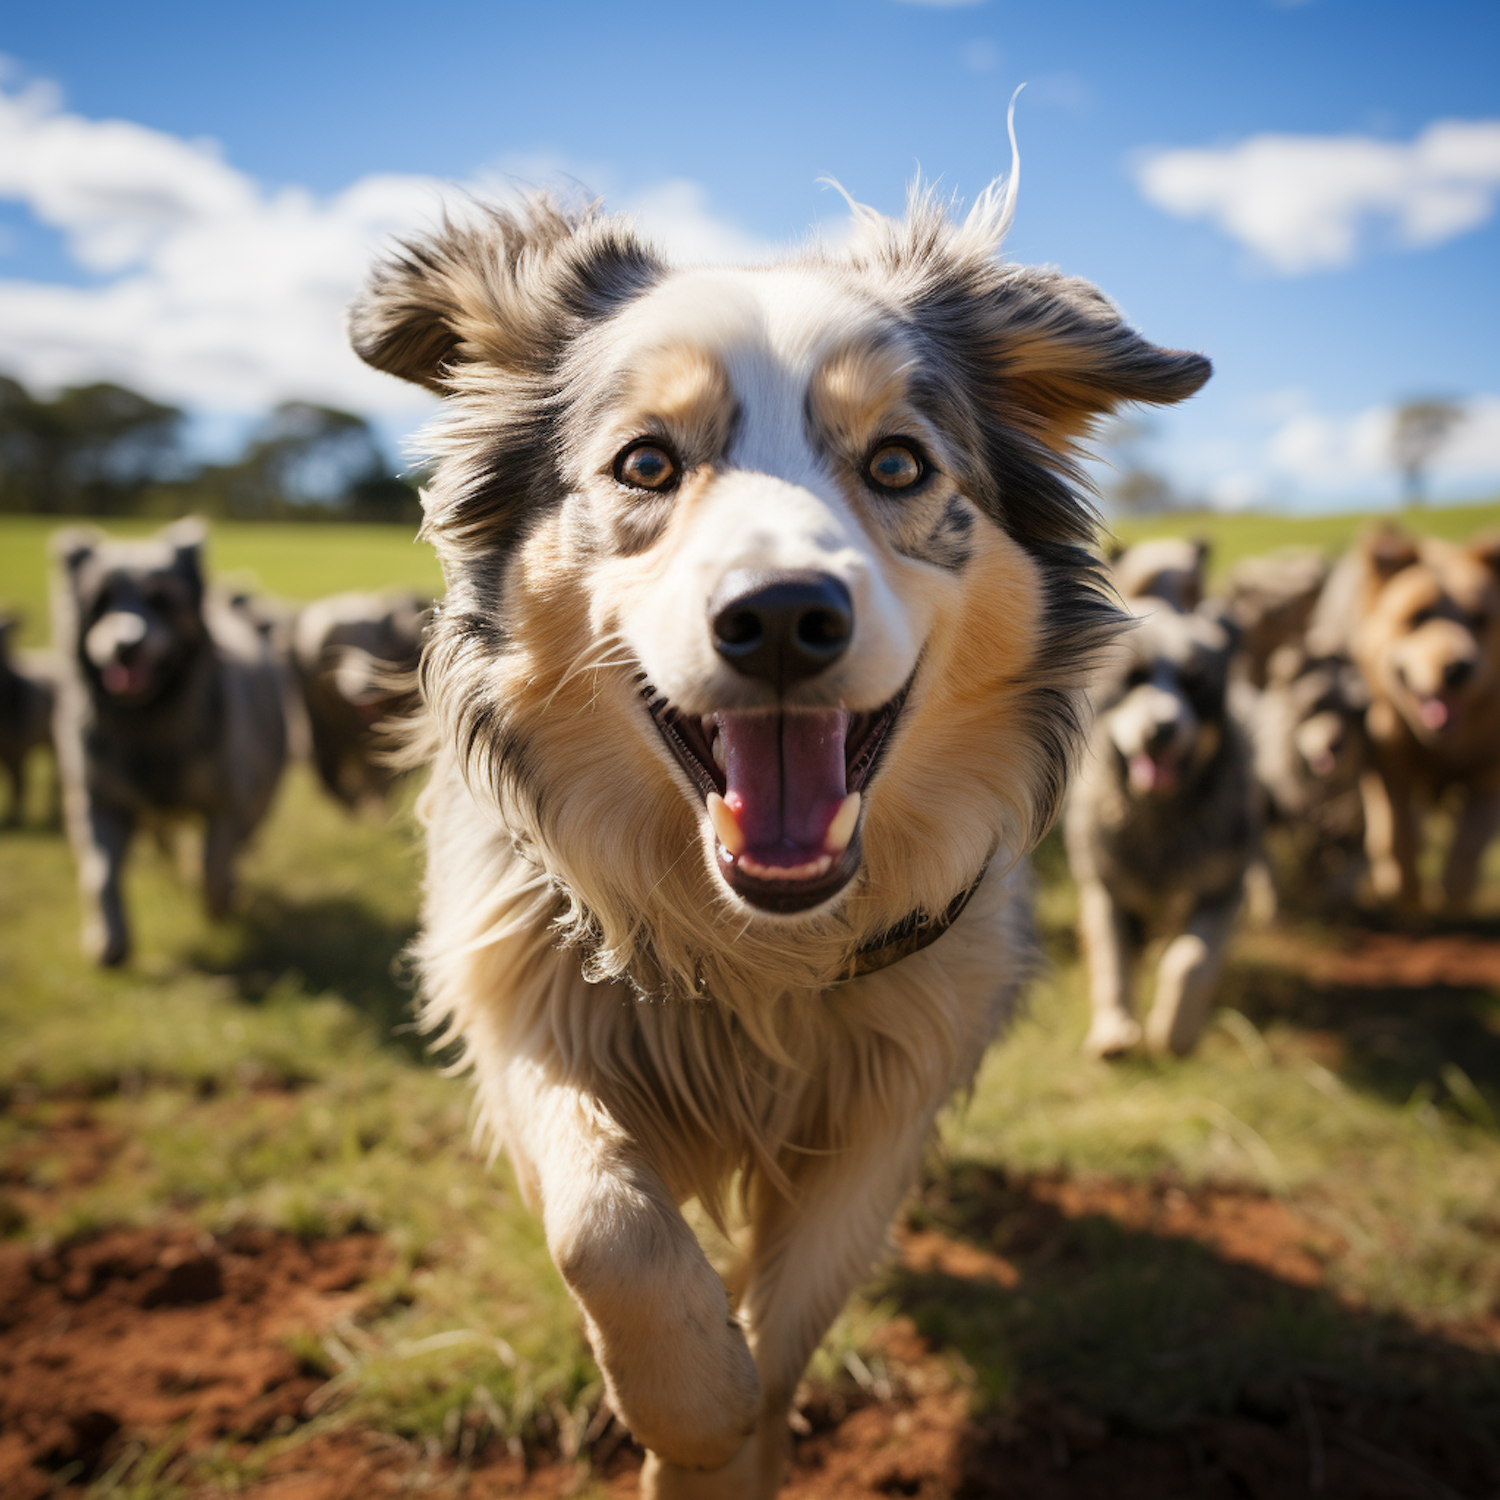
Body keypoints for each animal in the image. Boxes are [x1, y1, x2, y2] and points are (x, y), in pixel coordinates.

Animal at [50, 522, 286, 966]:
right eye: (100, 602)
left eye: (161, 600)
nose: (126, 647)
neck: (149, 721)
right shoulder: (98, 799)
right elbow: (100, 873)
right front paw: (109, 937)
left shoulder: (230, 800)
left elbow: (215, 861)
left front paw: (219, 901)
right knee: (162, 833)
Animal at [348, 181, 1206, 1494]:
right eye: (646, 462)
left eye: (898, 461)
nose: (786, 617)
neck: (754, 947)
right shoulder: (519, 984)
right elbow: (606, 1226)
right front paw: (695, 1408)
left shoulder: (893, 1078)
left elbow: (796, 1308)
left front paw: (732, 1442)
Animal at [1062, 597, 1260, 1056]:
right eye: (1132, 679)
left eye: (1195, 684)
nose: (1161, 729)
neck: (1160, 816)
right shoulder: (1105, 886)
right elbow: (1114, 958)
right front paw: (1114, 1027)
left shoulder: (1222, 888)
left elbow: (1190, 961)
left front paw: (1176, 1032)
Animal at [1308, 528, 1500, 912]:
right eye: (1417, 617)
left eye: (1482, 619)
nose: (1458, 669)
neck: (1440, 745)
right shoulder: (1384, 762)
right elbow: (1396, 835)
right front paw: (1403, 891)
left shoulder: (1490, 771)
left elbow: (1470, 842)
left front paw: (1451, 897)